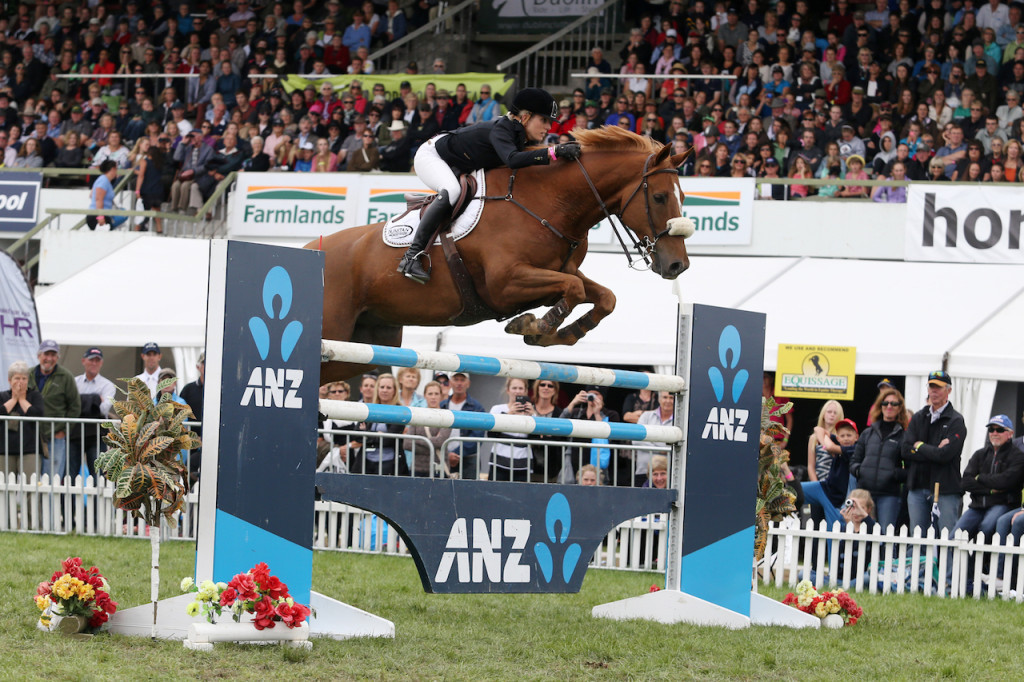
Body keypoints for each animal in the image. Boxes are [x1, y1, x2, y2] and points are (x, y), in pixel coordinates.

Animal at [309, 127, 696, 382]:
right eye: (659, 197)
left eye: (682, 197)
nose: (678, 264)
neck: (551, 202)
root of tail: (311, 248)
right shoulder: (505, 284)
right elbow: (572, 290)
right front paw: (537, 326)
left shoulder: (560, 271)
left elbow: (603, 296)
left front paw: (562, 333)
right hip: (338, 330)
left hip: (366, 345)